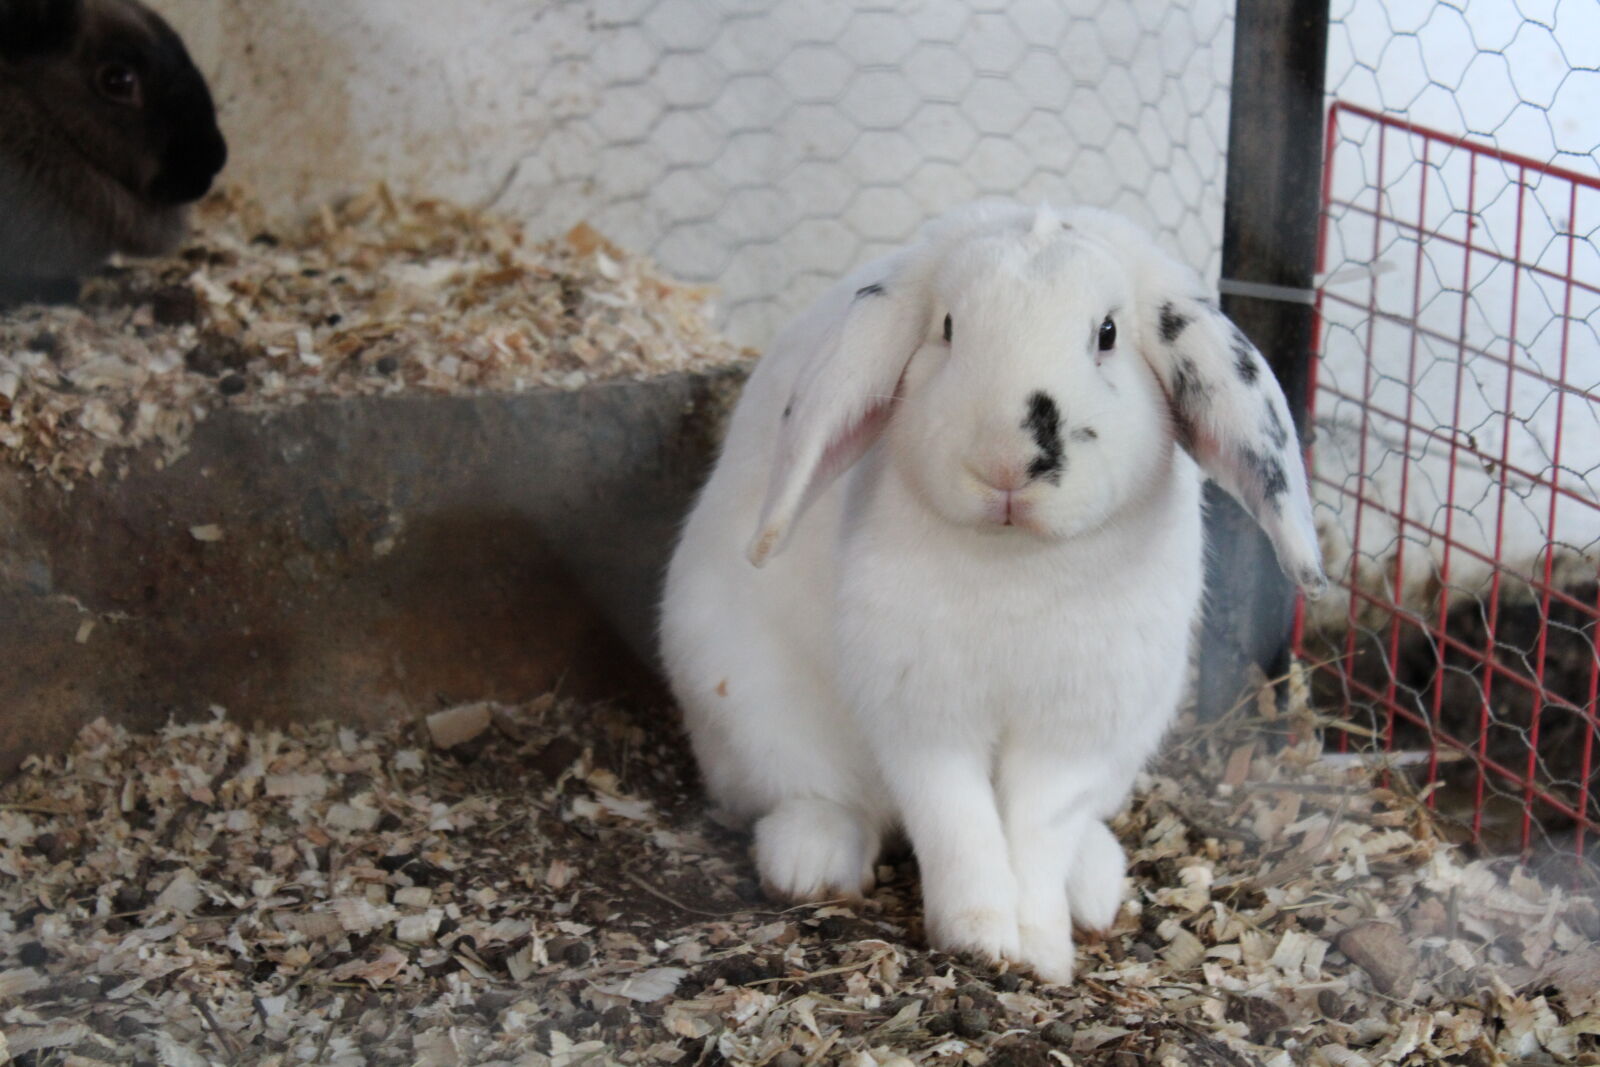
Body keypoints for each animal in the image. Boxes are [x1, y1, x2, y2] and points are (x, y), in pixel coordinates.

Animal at [659, 200, 1326, 984]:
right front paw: (980, 939)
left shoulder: (1076, 727)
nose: (1009, 462)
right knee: (816, 795)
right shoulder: (919, 713)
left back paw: (1092, 887)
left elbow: (1037, 828)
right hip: (747, 708)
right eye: (949, 327)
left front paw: (1038, 951)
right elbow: (958, 820)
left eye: (1107, 333)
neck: (1017, 566)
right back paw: (811, 862)